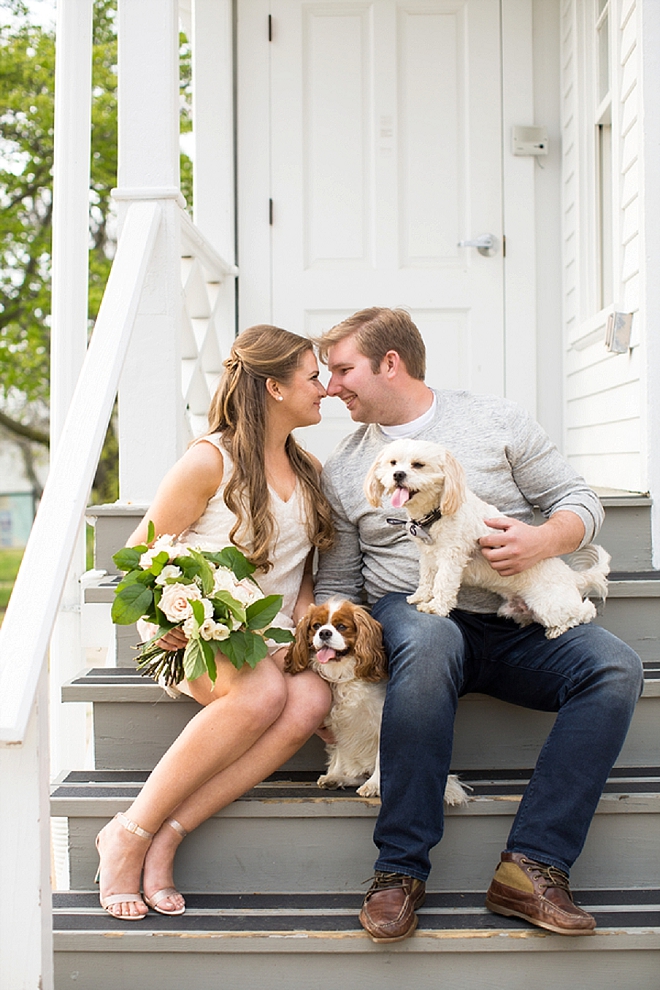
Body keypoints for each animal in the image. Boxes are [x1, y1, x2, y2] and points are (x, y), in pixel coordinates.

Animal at [364, 438, 612, 640]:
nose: (398, 474)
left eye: (418, 465)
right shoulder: (428, 556)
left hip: (550, 605)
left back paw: (558, 629)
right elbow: (426, 579)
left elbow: (443, 583)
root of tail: (571, 576)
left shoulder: (451, 557)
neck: (436, 513)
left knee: (584, 611)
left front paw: (436, 607)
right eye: (393, 463)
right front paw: (420, 596)